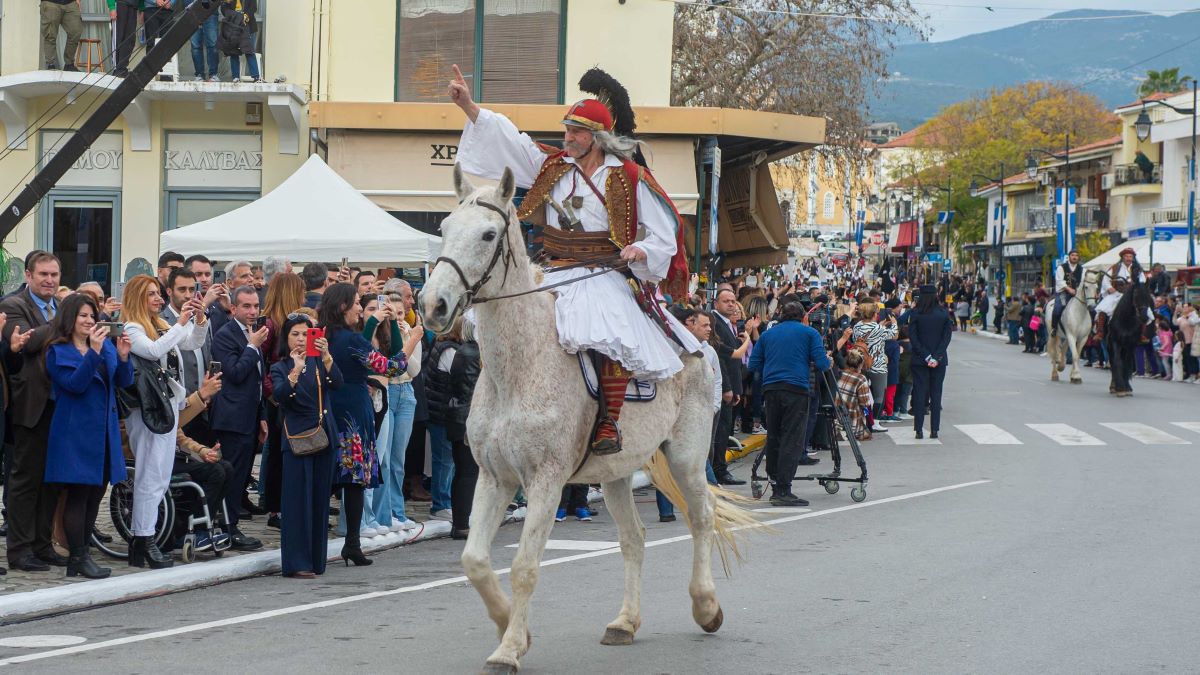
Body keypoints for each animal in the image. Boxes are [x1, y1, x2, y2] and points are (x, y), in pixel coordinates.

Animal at [422, 164, 753, 672]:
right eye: (443, 228)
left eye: (488, 234)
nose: (432, 305)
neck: (517, 368)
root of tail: (695, 341)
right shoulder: (495, 476)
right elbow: (475, 561)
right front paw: (511, 628)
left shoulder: (545, 478)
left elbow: (523, 566)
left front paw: (510, 647)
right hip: (615, 471)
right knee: (634, 538)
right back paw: (625, 622)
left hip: (687, 456)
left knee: (701, 516)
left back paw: (706, 607)